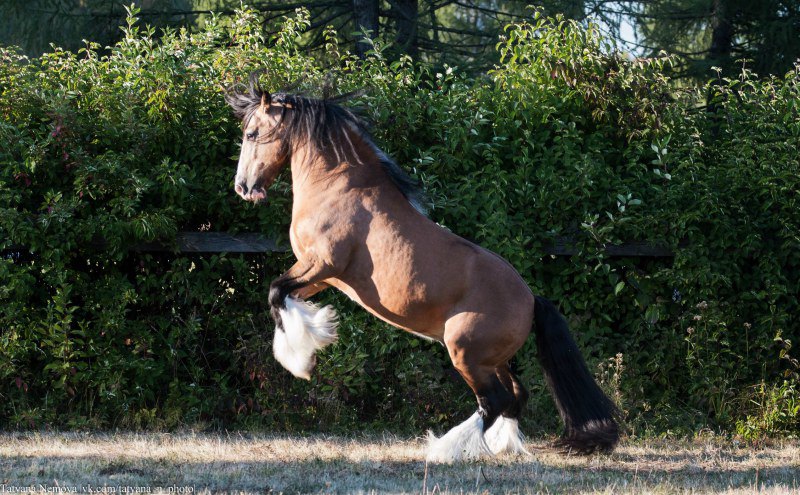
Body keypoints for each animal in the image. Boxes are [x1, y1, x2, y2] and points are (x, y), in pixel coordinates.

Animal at [225, 74, 620, 464]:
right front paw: (311, 338)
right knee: (516, 396)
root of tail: (532, 299)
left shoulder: (322, 263)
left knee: (494, 400)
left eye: (251, 134)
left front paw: (299, 360)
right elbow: (284, 296)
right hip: (491, 358)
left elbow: (276, 292)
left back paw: (445, 450)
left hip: (464, 352)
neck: (336, 185)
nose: (243, 188)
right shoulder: (324, 277)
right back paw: (500, 447)